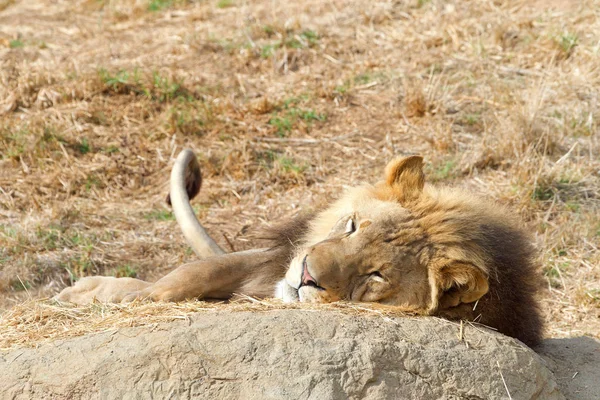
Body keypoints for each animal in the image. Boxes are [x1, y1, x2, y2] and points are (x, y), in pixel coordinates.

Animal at [56, 148, 544, 346]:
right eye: (351, 226)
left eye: (375, 277)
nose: (306, 274)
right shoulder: (275, 259)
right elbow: (188, 276)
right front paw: (90, 293)